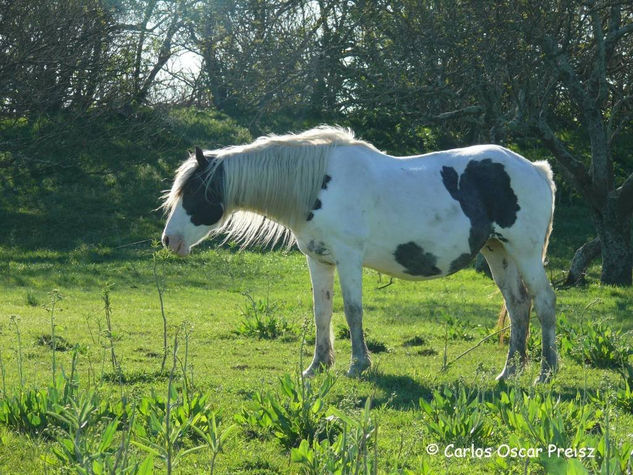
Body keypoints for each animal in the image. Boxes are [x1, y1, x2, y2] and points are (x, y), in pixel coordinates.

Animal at [160, 125, 556, 384]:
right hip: (498, 251)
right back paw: (510, 372)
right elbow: (321, 312)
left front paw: (358, 365)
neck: (318, 185)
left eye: (194, 191)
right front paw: (317, 366)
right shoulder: (319, 260)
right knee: (518, 305)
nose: (169, 241)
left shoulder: (349, 258)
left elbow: (352, 311)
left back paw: (545, 373)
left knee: (544, 302)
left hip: (524, 252)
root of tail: (537, 169)